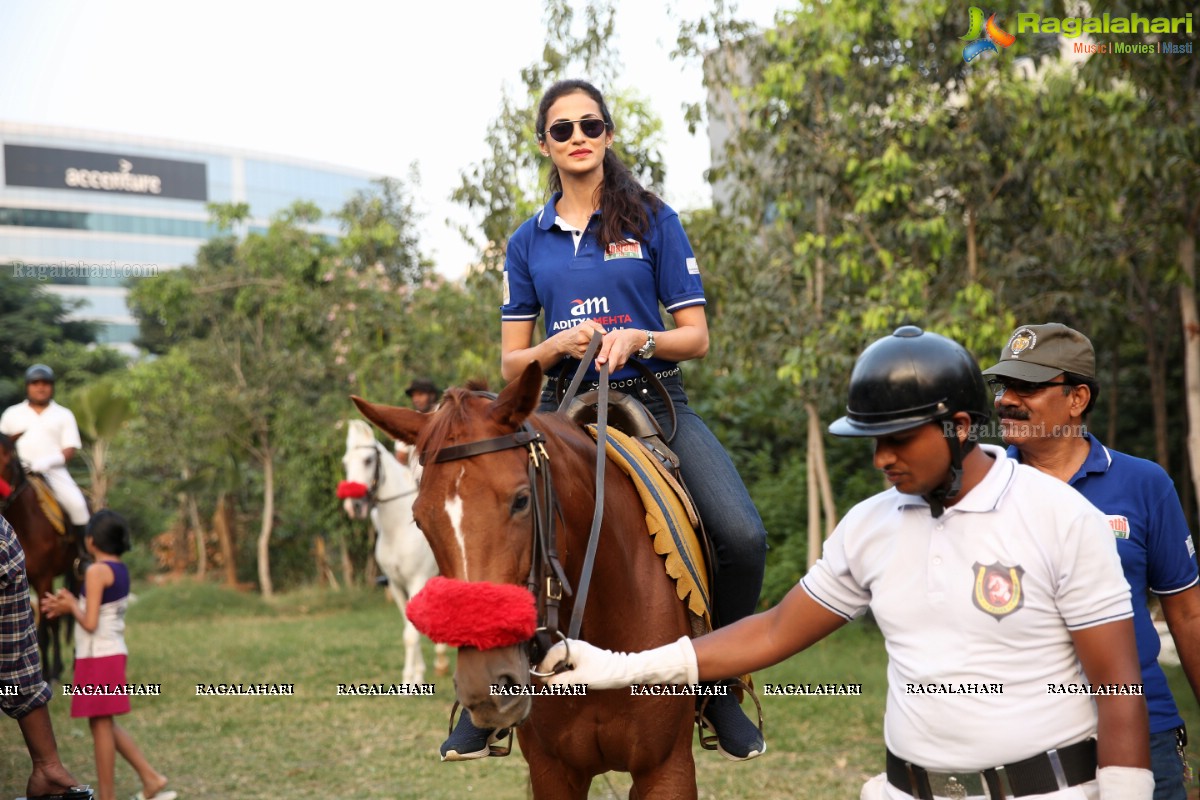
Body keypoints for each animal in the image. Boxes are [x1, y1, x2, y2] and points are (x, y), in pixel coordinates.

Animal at [340, 419, 448, 681]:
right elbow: (409, 630)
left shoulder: (417, 581)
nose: (354, 506)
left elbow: (411, 633)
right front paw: (414, 675)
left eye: (368, 460)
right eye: (346, 463)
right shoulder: (396, 584)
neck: (398, 528)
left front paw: (413, 679)